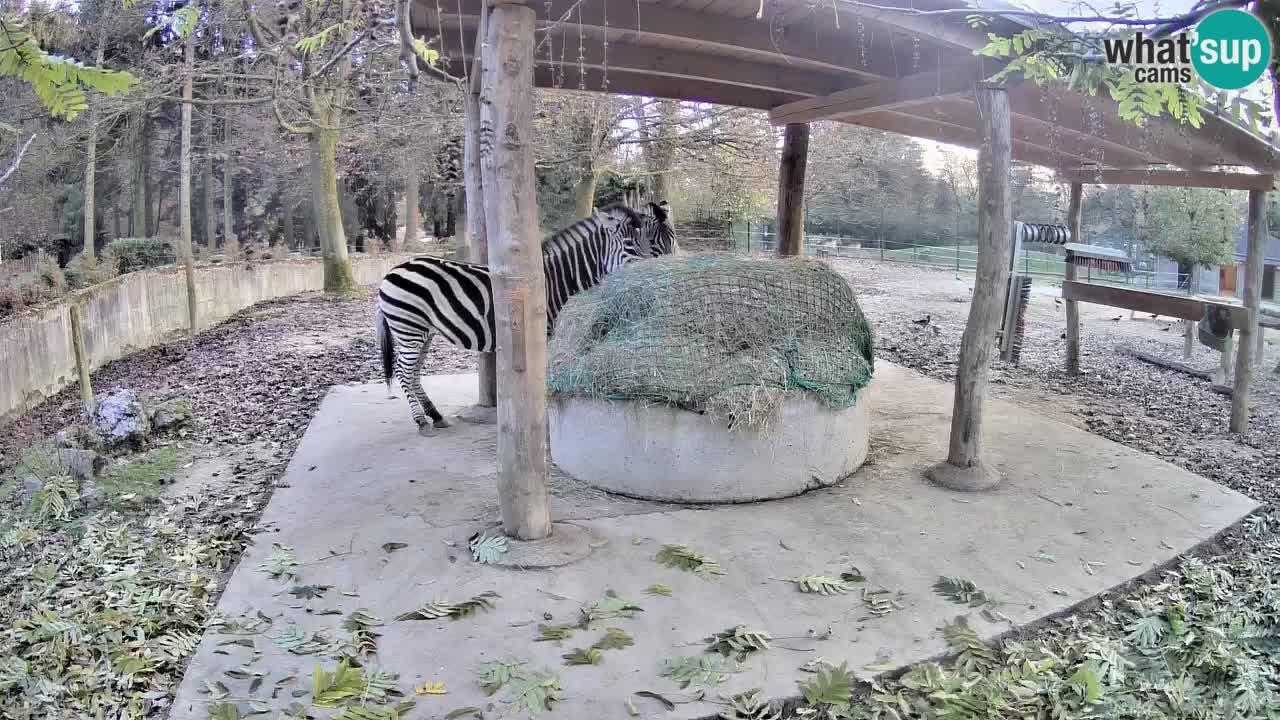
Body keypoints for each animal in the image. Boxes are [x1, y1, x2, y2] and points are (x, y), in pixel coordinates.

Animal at [373, 199, 675, 430]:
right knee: (403, 371)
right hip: (409, 328)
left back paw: (435, 416)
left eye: (663, 245)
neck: (560, 278)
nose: (659, 276)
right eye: (634, 246)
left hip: (424, 332)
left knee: (413, 372)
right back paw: (421, 421)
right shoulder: (546, 332)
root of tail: (391, 271)